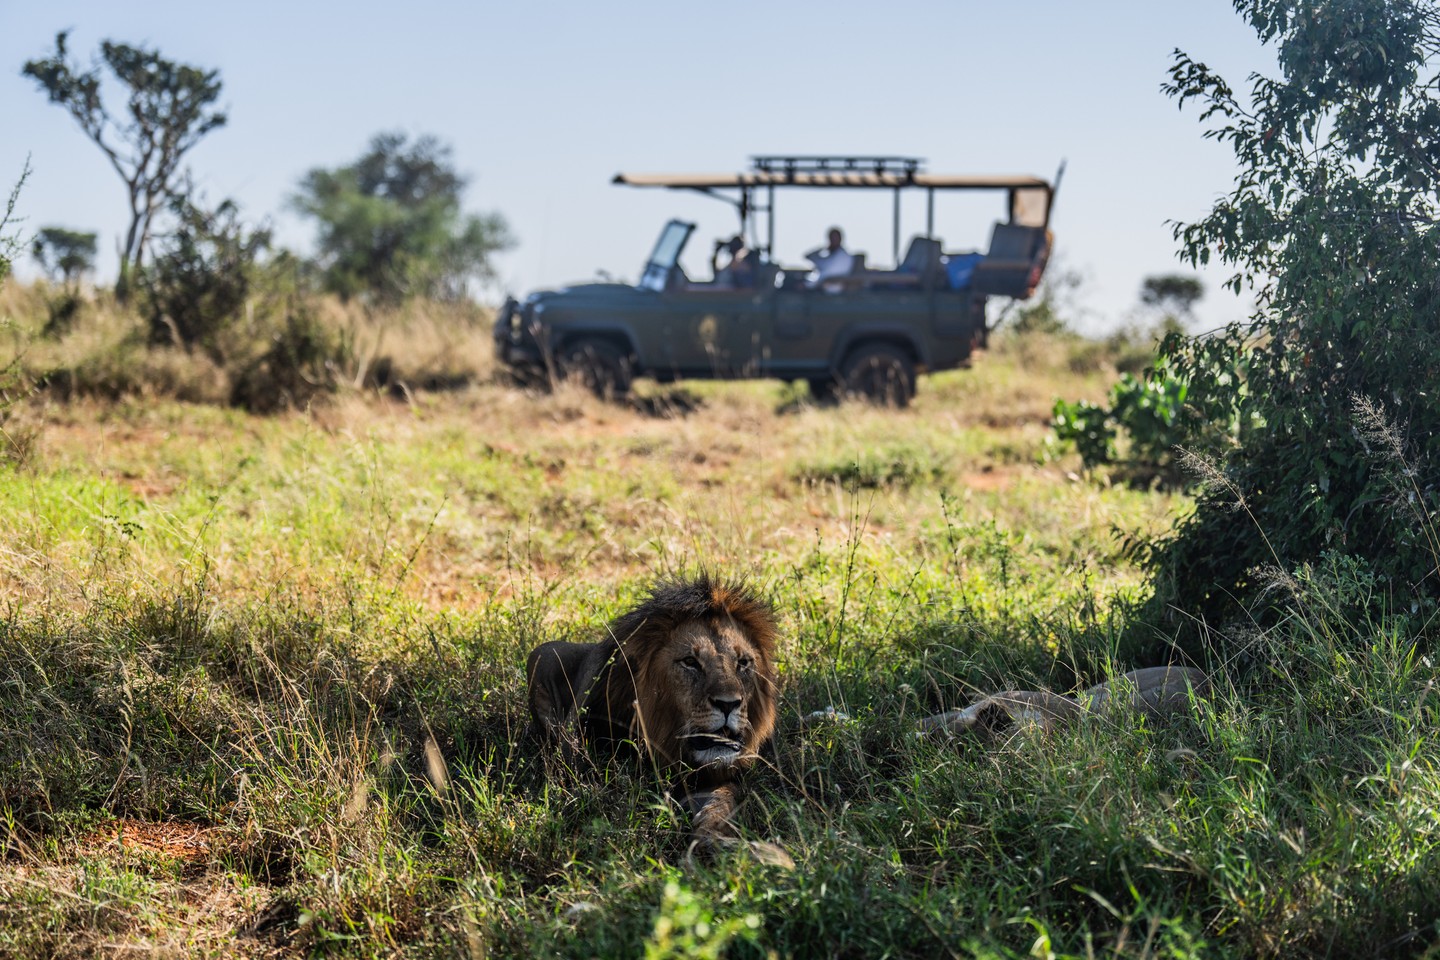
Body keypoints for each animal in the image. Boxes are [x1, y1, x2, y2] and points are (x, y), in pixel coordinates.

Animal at [526, 574, 781, 857]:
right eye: (690, 662)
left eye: (743, 663)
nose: (729, 704)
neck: (665, 738)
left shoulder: (712, 778)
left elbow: (723, 801)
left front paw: (713, 841)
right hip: (544, 653)